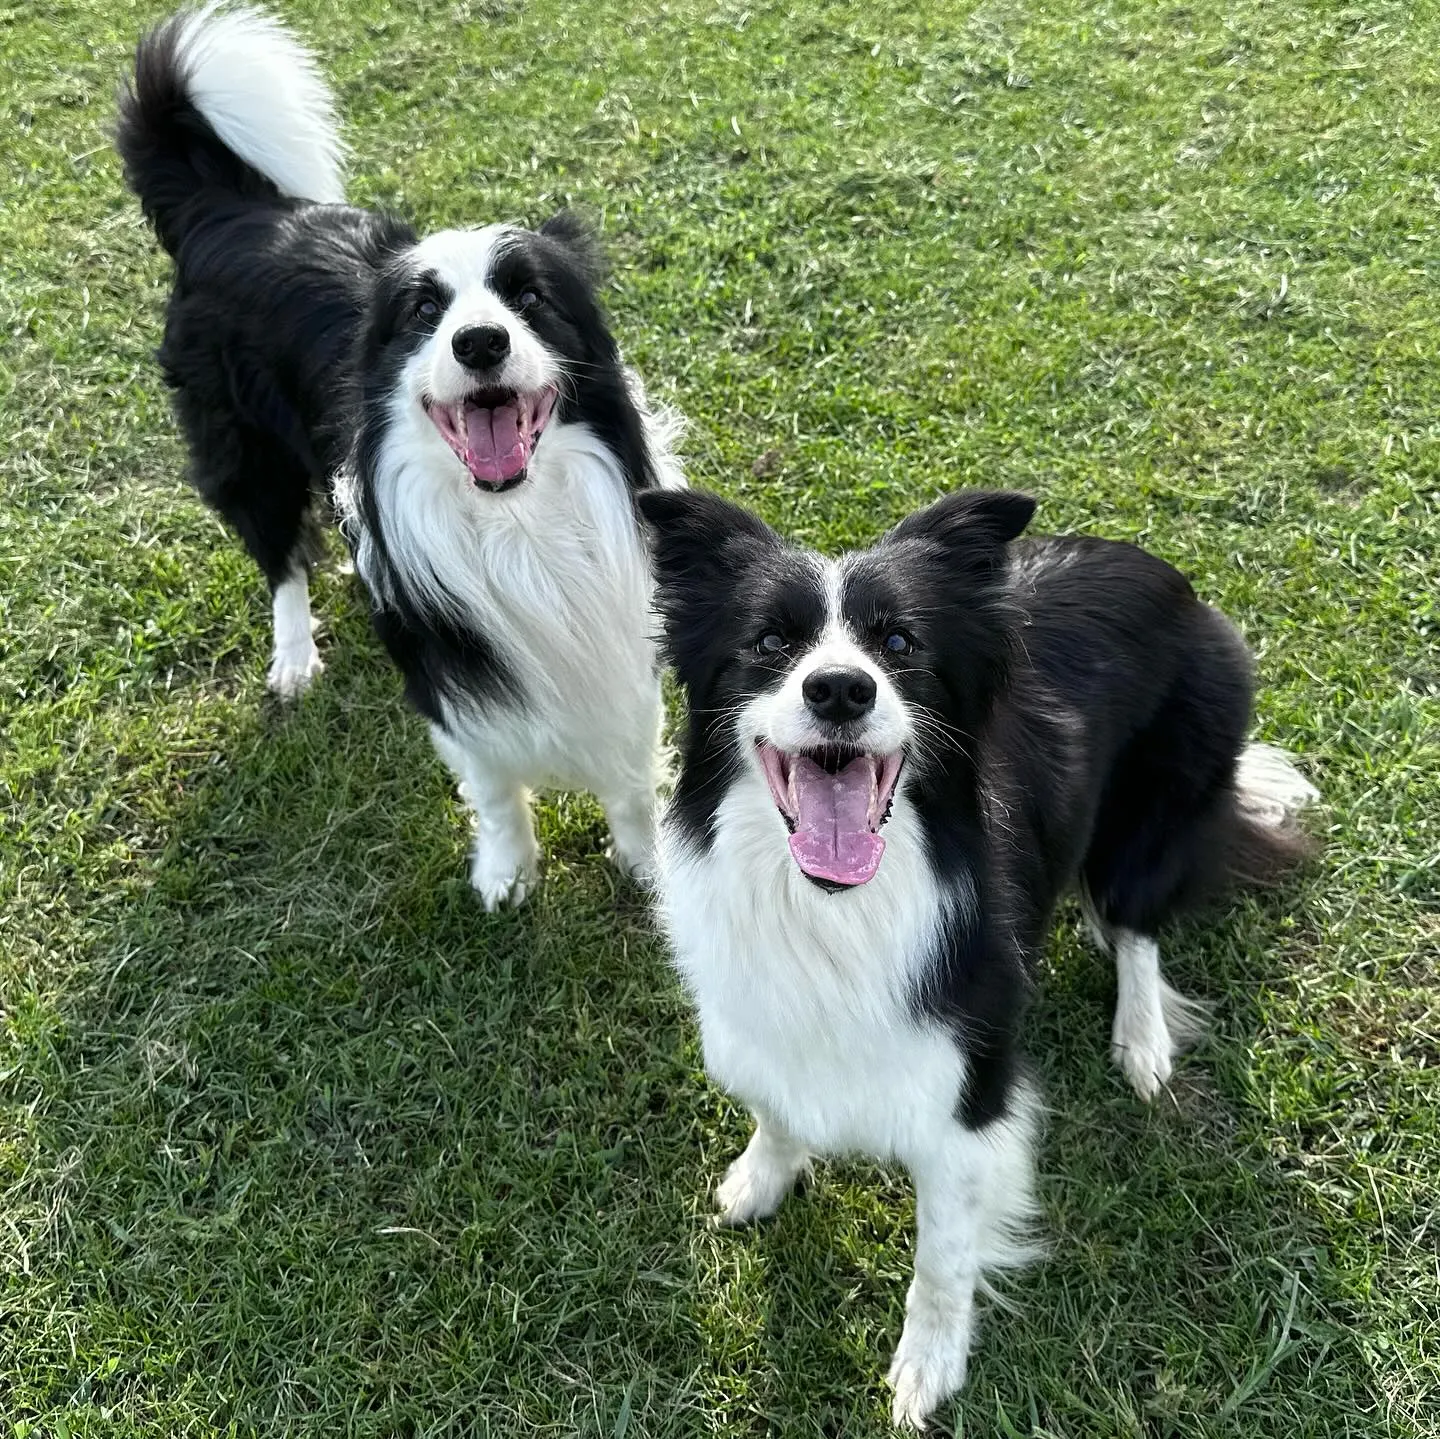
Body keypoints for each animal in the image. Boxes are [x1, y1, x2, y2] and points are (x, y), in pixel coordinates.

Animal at [118, 2, 679, 898]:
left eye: (530, 298)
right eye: (422, 311)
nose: (480, 341)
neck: (518, 522)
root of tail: (229, 211)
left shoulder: (623, 630)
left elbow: (629, 777)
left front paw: (650, 869)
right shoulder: (448, 666)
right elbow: (493, 783)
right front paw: (508, 874)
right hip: (244, 453)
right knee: (278, 553)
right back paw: (295, 655)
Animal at [642, 489, 1319, 1434]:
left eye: (900, 645)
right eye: (770, 642)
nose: (840, 688)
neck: (836, 907)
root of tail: (1164, 572)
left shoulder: (974, 1090)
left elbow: (944, 1252)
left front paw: (927, 1367)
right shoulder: (762, 1015)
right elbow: (775, 1104)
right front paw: (760, 1177)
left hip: (1153, 809)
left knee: (1137, 925)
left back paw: (1142, 1037)